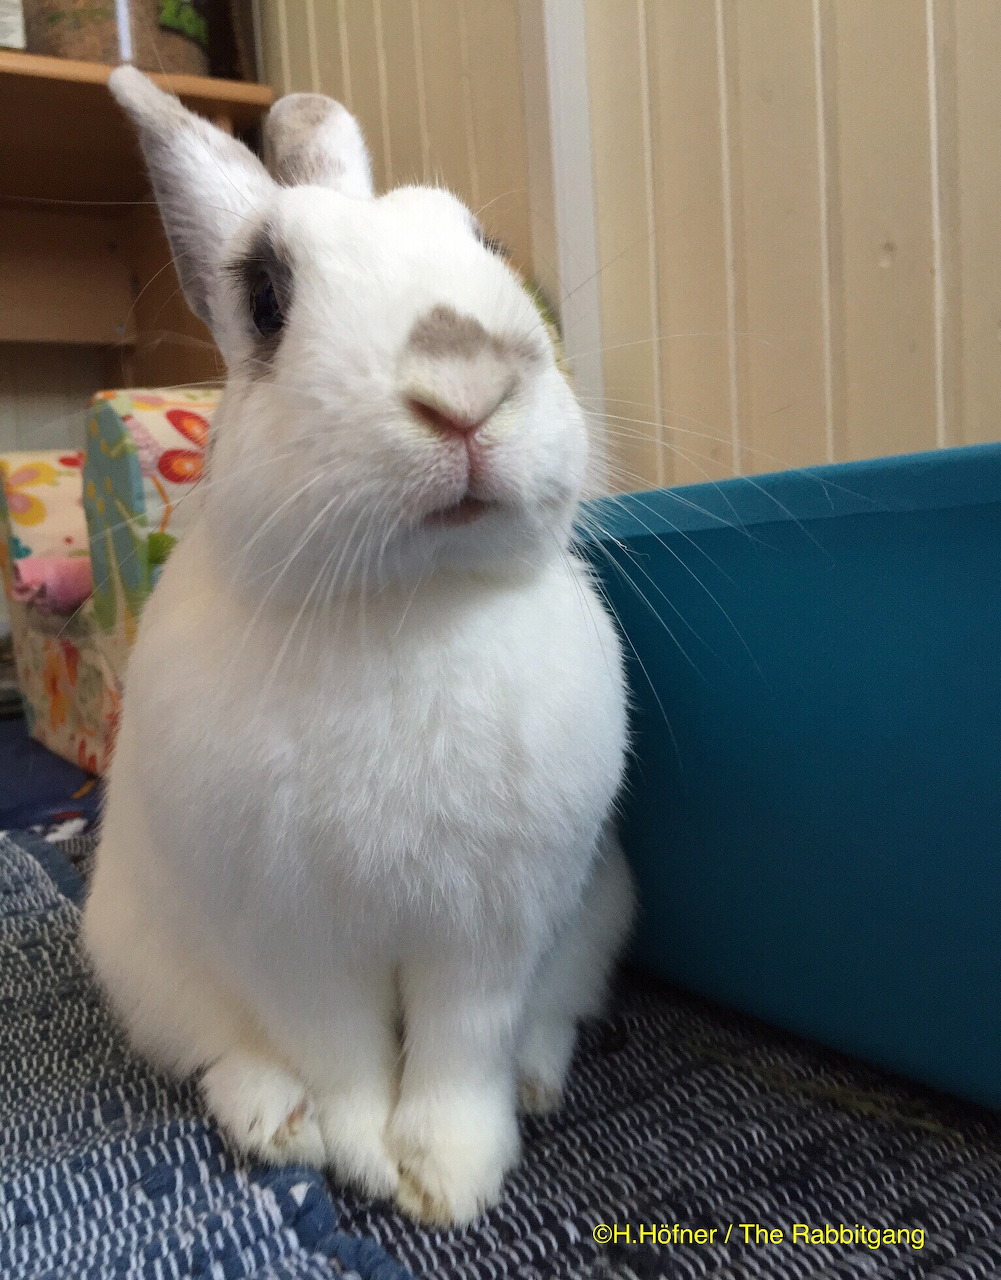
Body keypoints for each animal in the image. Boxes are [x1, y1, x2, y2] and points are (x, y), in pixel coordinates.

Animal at [82, 67, 635, 1228]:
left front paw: (449, 1177)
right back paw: (271, 1121)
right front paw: (367, 1161)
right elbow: (338, 1056)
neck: (404, 604)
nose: (466, 385)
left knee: (544, 1017)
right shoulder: (286, 932)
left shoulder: (494, 927)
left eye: (485, 241)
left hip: (596, 921)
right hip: (139, 964)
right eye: (265, 300)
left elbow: (462, 1048)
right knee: (217, 1050)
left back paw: (537, 1076)